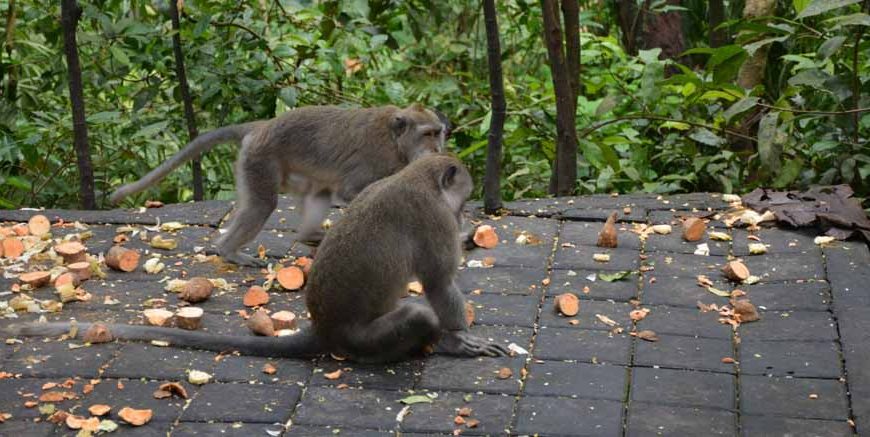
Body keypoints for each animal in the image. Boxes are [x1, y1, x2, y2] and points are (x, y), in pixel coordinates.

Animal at [7, 154, 508, 362]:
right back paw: (430, 342)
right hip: (364, 339)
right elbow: (439, 283)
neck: (419, 177)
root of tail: (323, 329)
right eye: (462, 197)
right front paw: (460, 338)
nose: (465, 215)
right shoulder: (431, 218)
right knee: (418, 315)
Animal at [109, 104, 449, 267]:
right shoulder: (375, 159)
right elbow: (353, 192)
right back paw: (229, 251)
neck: (396, 141)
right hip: (259, 160)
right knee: (262, 204)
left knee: (318, 192)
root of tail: (263, 126)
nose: (438, 149)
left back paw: (310, 235)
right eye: (428, 134)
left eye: (439, 133)